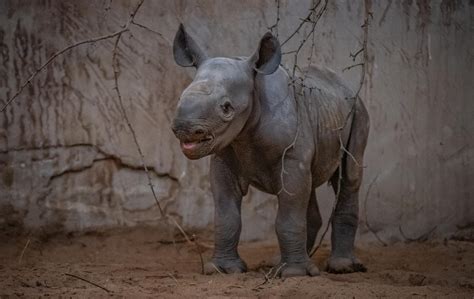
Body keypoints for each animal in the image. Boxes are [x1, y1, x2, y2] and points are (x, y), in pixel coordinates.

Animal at [170, 25, 370, 278]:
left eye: (226, 108)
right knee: (310, 184)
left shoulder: (291, 155)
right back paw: (279, 262)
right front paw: (222, 269)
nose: (185, 129)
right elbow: (227, 216)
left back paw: (341, 267)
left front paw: (293, 274)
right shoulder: (224, 157)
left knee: (349, 175)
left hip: (358, 111)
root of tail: (347, 86)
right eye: (180, 97)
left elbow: (289, 215)